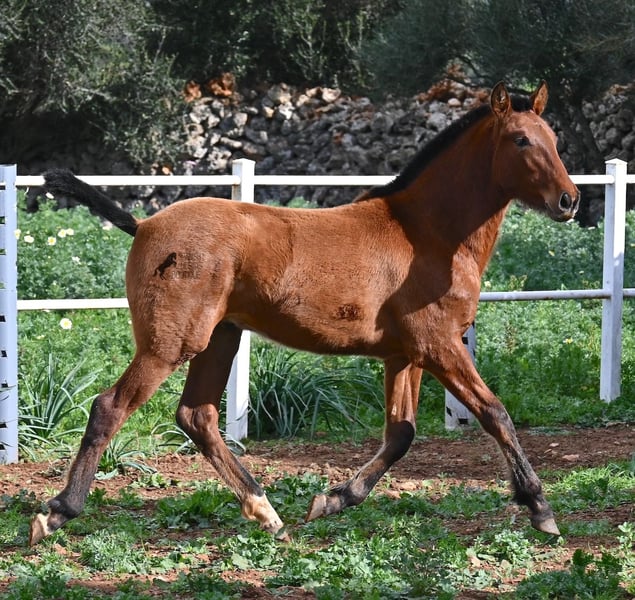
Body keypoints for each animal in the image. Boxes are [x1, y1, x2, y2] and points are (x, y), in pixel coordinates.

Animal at [30, 81, 579, 545]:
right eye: (521, 140)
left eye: (554, 139)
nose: (569, 201)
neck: (427, 234)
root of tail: (143, 225)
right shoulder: (439, 345)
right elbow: (495, 414)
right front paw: (541, 509)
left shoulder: (404, 355)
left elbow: (400, 434)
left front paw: (332, 500)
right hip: (171, 343)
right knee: (111, 407)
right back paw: (56, 513)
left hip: (220, 338)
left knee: (197, 415)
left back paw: (265, 511)